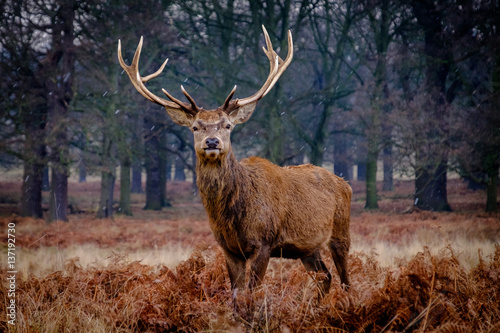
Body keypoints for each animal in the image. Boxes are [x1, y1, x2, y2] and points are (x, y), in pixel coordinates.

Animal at [117, 26, 352, 298]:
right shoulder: (229, 248)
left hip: (341, 231)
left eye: (227, 125)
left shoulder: (263, 243)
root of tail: (345, 183)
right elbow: (237, 297)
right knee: (325, 277)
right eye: (195, 127)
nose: (211, 141)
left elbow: (252, 295)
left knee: (345, 279)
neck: (232, 216)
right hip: (307, 248)